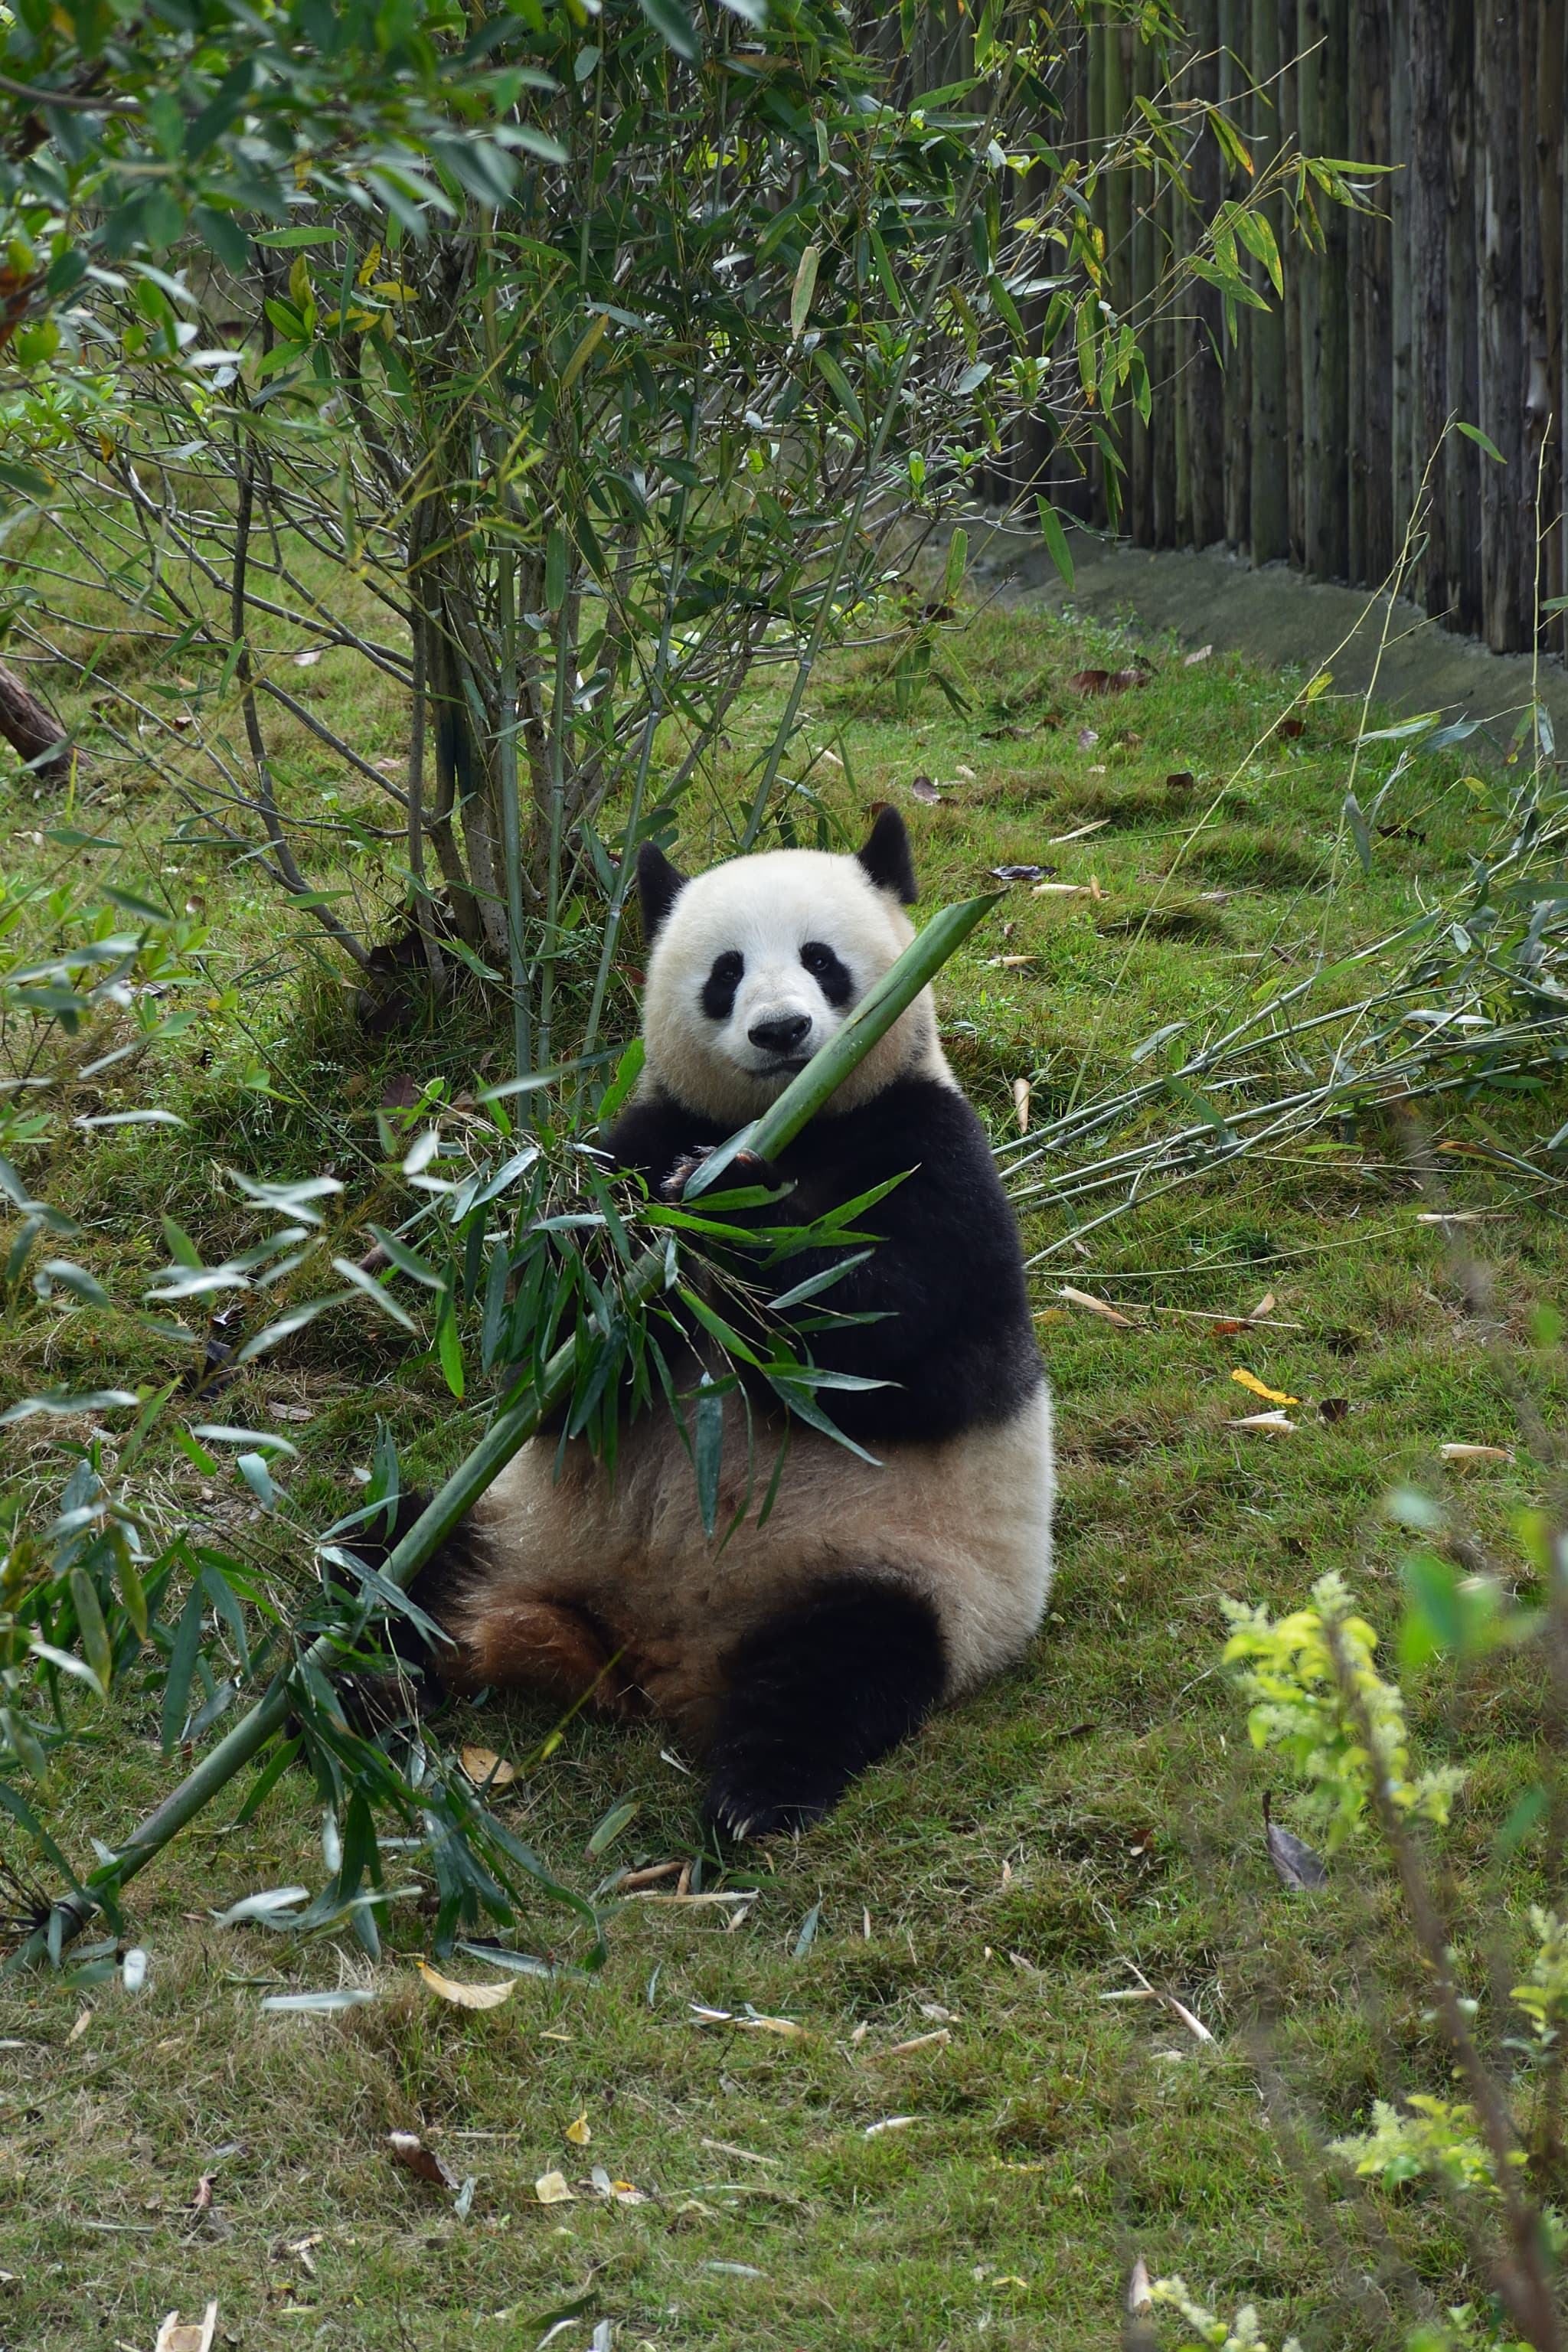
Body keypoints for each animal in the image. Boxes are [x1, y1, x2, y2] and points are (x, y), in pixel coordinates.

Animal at [390, 807, 1055, 1837]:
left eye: (822, 960)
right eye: (726, 971)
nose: (781, 1030)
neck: (793, 1120)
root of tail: (639, 1651)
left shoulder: (929, 1150)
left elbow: (912, 1359)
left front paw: (734, 1212)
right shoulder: (639, 1137)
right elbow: (551, 1366)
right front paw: (627, 1271)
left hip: (904, 1570)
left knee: (841, 1667)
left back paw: (754, 1797)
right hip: (510, 1527)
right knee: (391, 1557)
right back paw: (347, 1677)